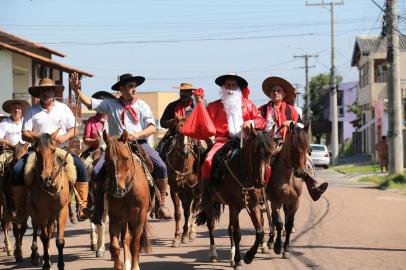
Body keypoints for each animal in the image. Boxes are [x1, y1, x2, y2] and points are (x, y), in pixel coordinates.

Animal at [24, 134, 76, 268]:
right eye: (37, 151)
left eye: (53, 150)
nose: (45, 178)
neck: (50, 188)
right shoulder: (41, 212)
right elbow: (43, 237)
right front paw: (46, 264)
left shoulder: (61, 211)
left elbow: (59, 241)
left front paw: (60, 264)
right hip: (34, 211)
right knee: (37, 230)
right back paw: (35, 255)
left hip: (51, 216)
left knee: (50, 231)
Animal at [103, 130, 151, 268]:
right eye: (107, 159)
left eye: (125, 158)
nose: (118, 190)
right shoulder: (115, 217)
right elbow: (115, 247)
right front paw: (119, 266)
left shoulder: (140, 217)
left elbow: (135, 244)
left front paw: (135, 267)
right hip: (124, 219)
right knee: (125, 238)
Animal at [166, 115, 201, 247]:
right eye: (178, 131)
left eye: (190, 132)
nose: (185, 152)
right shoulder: (174, 190)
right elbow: (178, 214)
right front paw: (176, 238)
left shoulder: (191, 190)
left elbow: (189, 211)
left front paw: (186, 235)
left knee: (194, 208)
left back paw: (191, 232)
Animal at [196, 127, 274, 270]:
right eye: (255, 152)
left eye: (270, 154)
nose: (260, 183)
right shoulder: (235, 207)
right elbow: (237, 234)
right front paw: (238, 260)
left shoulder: (253, 206)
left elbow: (259, 231)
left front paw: (249, 256)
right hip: (209, 202)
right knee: (212, 227)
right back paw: (214, 253)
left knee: (230, 228)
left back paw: (231, 257)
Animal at [264, 123, 310, 260]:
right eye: (293, 146)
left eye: (307, 147)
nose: (300, 173)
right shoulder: (276, 201)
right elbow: (278, 223)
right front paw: (278, 246)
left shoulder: (294, 202)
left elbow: (289, 224)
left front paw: (287, 249)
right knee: (272, 219)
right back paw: (270, 241)